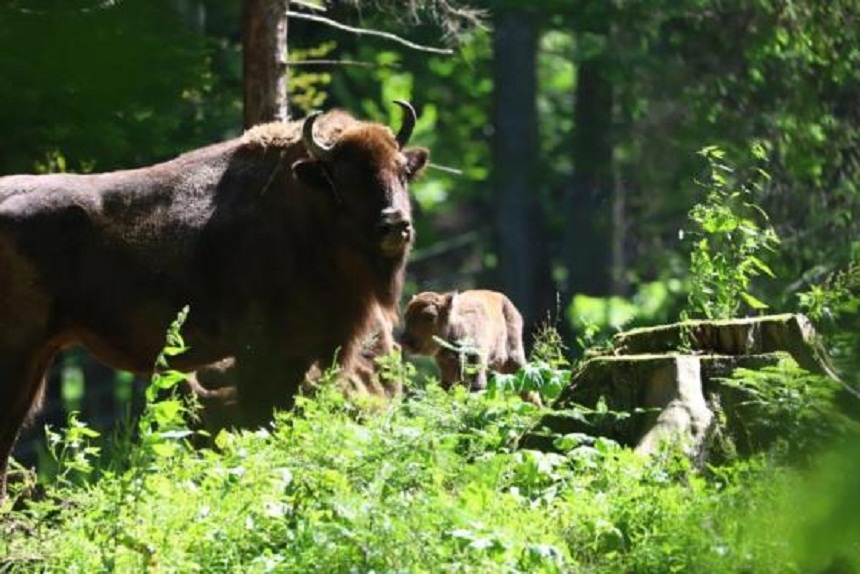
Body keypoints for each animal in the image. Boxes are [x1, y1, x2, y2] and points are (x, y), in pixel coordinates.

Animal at [0, 100, 430, 500]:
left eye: (401, 170)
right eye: (345, 178)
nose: (396, 225)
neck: (305, 207)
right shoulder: (262, 353)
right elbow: (262, 418)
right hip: (19, 354)